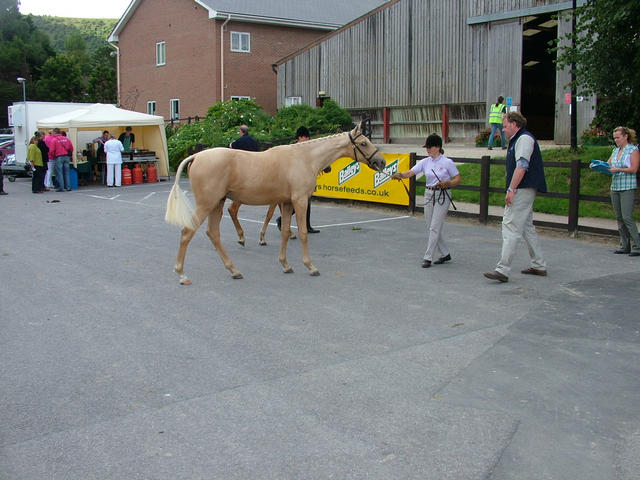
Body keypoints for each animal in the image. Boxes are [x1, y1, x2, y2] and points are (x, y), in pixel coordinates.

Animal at [165, 124, 384, 284]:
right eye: (364, 143)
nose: (381, 162)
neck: (304, 158)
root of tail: (196, 156)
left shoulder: (286, 203)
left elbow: (286, 231)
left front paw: (285, 265)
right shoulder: (299, 200)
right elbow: (302, 233)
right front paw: (310, 266)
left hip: (217, 203)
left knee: (213, 233)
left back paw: (234, 270)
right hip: (206, 204)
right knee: (187, 232)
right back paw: (182, 274)